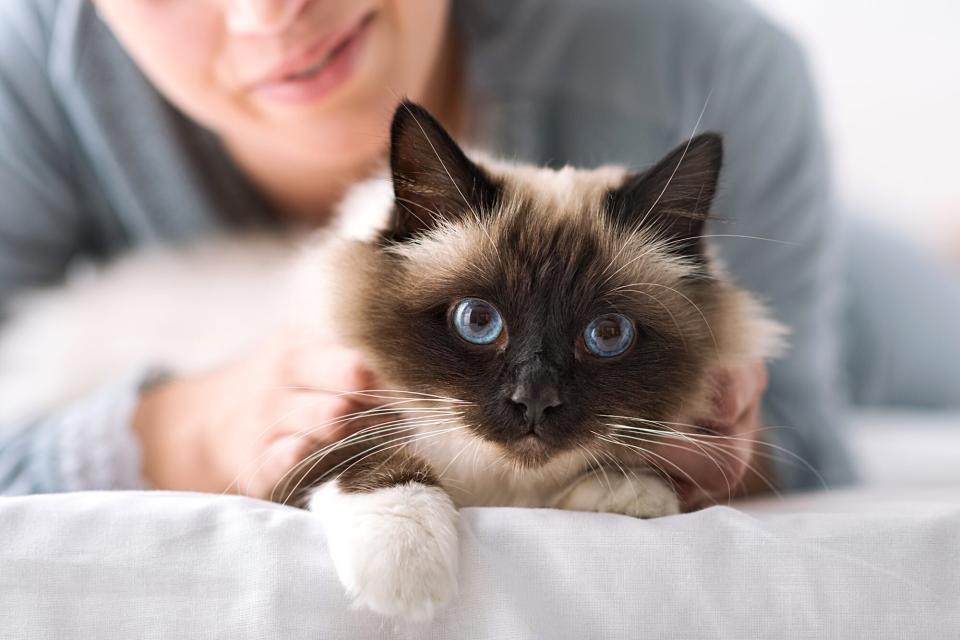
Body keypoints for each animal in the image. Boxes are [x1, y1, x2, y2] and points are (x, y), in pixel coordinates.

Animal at [0, 104, 784, 620]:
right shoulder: (308, 419)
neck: (498, 488)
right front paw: (406, 583)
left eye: (607, 334)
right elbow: (377, 463)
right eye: (478, 322)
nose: (535, 401)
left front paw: (626, 493)